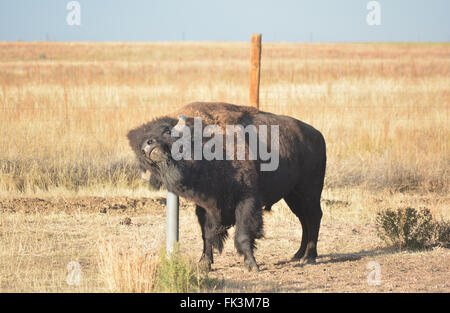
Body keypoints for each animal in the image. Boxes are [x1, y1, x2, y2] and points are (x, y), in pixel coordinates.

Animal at [128, 102, 326, 270]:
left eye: (167, 131)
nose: (148, 145)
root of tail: (318, 135)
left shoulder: (247, 200)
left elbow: (243, 233)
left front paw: (252, 265)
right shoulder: (206, 207)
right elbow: (207, 235)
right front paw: (204, 264)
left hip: (309, 192)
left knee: (313, 217)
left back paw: (309, 256)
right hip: (293, 196)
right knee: (304, 220)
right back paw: (298, 254)